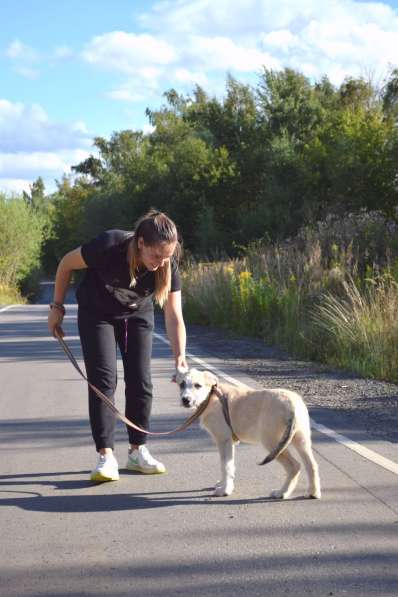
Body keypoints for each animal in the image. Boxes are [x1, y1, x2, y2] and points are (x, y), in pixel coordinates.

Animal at [174, 368, 320, 498]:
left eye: (197, 385)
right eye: (182, 384)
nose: (185, 400)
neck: (210, 397)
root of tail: (291, 404)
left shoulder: (223, 440)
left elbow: (225, 466)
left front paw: (225, 491)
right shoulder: (229, 443)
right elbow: (228, 465)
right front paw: (223, 484)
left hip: (272, 443)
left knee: (294, 466)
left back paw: (282, 493)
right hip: (301, 440)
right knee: (311, 465)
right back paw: (313, 493)